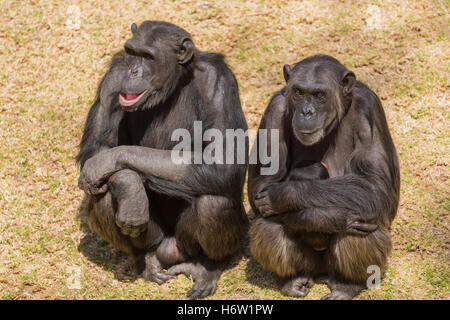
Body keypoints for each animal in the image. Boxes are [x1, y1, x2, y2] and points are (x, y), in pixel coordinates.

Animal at [75, 21, 248, 298]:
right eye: (132, 52)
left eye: (148, 57)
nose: (133, 71)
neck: (175, 84)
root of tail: (168, 251)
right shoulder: (112, 78)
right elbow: (97, 147)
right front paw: (129, 188)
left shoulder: (220, 83)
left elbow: (223, 162)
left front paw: (110, 161)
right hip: (157, 239)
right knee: (102, 196)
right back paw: (146, 259)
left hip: (186, 245)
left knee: (214, 203)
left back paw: (207, 268)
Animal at [250, 55, 400, 300]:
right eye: (299, 92)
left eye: (320, 95)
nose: (306, 112)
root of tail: (321, 273)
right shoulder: (274, 110)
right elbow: (261, 187)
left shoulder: (369, 108)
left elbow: (375, 186)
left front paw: (285, 195)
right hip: (310, 264)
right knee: (268, 224)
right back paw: (293, 281)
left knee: (363, 225)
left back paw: (348, 285)